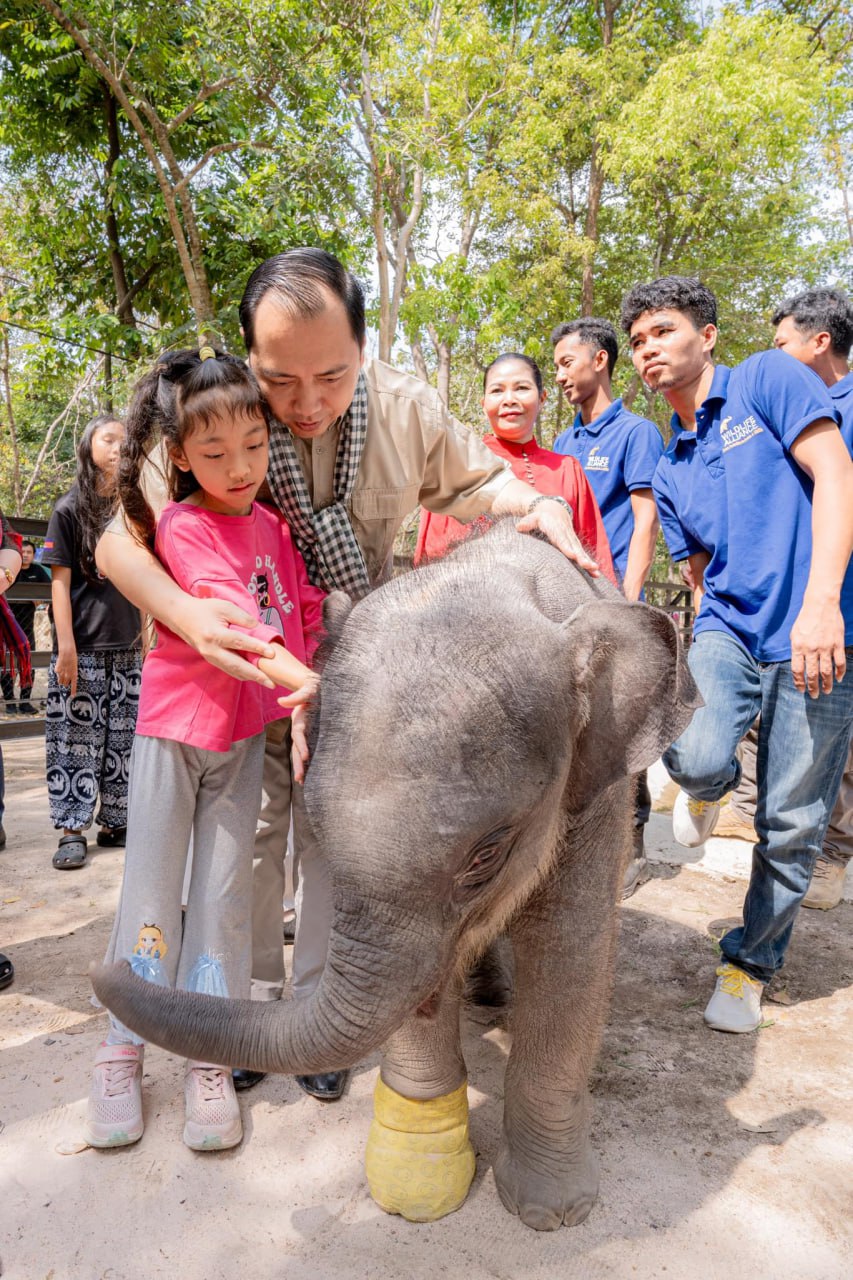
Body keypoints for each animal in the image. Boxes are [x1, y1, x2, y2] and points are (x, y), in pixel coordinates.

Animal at [91, 517, 696, 1228]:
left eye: (486, 856)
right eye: (319, 833)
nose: (111, 966)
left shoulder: (595, 792)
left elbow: (569, 948)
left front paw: (553, 1214)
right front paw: (418, 1189)